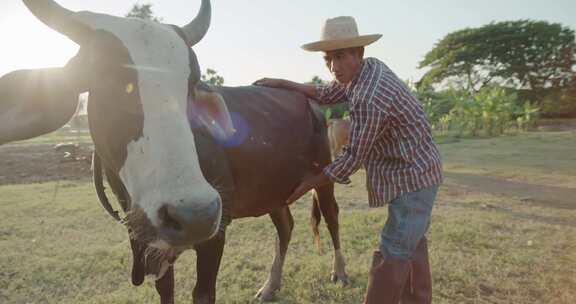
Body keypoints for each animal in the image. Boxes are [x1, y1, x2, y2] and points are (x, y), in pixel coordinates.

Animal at [0, 1, 348, 302]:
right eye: (106, 78)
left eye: (191, 85)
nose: (196, 215)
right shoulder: (156, 247)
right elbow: (165, 291)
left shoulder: (214, 235)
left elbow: (202, 293)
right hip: (274, 189)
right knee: (285, 227)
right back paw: (270, 285)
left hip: (325, 178)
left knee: (331, 218)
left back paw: (339, 272)